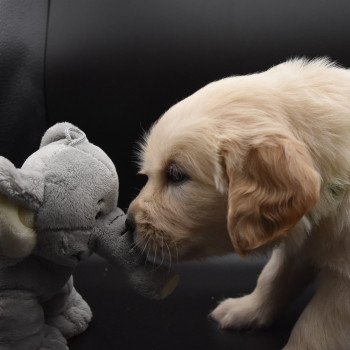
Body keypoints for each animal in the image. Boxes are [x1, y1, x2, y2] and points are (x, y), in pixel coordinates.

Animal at [128, 58, 350, 348]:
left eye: (176, 175)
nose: (127, 224)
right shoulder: (301, 241)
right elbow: (273, 277)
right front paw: (245, 310)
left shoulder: (343, 285)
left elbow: (315, 326)